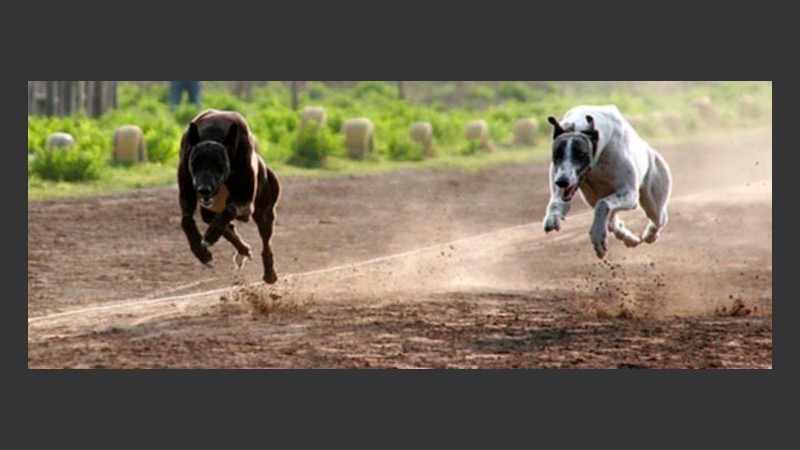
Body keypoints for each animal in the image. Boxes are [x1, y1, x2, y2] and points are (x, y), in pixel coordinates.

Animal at [177, 109, 280, 284]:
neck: (213, 133)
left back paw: (269, 273)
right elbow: (186, 220)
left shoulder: (245, 202)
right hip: (207, 211)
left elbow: (230, 210)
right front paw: (202, 253)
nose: (203, 190)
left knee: (266, 243)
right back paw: (242, 248)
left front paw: (210, 235)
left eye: (219, 164)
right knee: (224, 225)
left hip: (264, 212)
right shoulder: (187, 188)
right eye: (195, 163)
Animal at [540, 105, 672, 258]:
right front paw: (553, 216)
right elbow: (557, 202)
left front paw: (597, 236)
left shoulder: (629, 193)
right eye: (556, 155)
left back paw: (650, 235)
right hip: (593, 198)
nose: (562, 181)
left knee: (659, 219)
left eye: (581, 154)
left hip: (653, 201)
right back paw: (629, 239)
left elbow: (603, 204)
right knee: (613, 222)